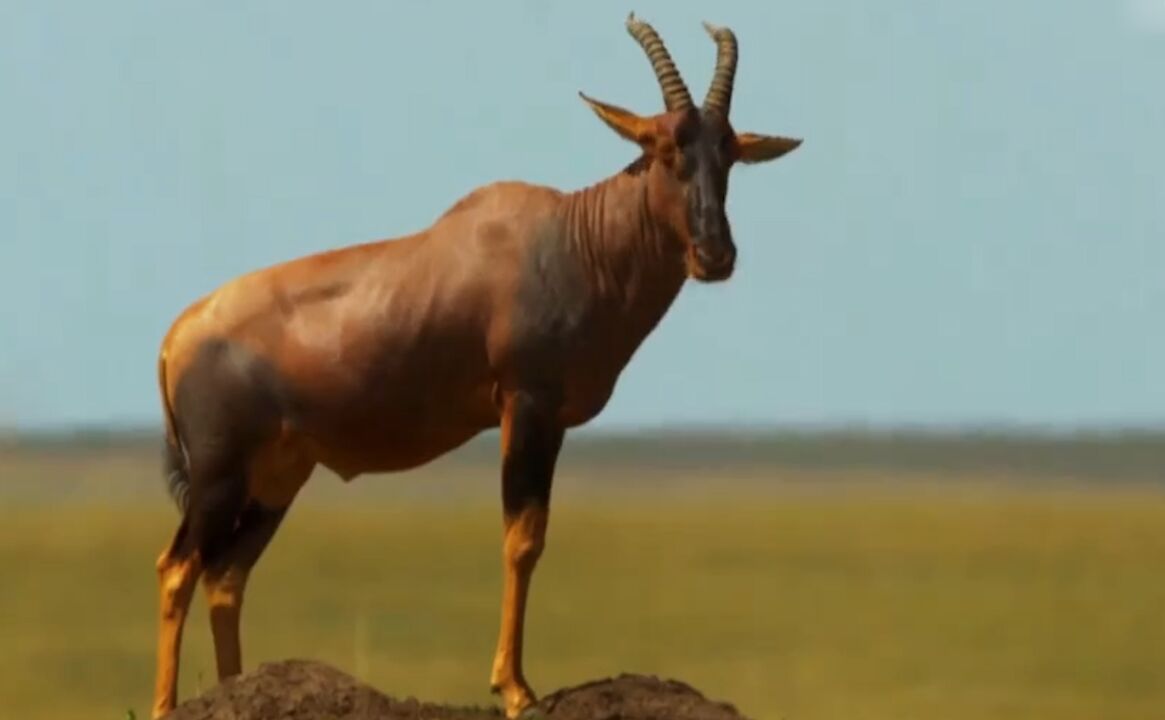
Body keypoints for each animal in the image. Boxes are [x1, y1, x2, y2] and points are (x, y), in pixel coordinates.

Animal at [147, 12, 801, 717]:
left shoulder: (552, 420)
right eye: (664, 149)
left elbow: (531, 535)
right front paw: (515, 688)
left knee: (226, 576)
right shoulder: (526, 405)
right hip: (219, 476)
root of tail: (176, 335)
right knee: (178, 568)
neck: (571, 239)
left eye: (728, 155)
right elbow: (522, 538)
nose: (715, 254)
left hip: (277, 478)